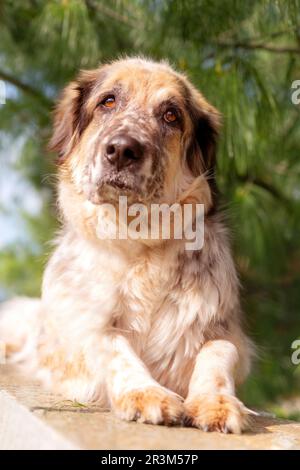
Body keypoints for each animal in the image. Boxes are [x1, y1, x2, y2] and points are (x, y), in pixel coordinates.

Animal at [0, 57, 255, 434]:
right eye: (108, 101)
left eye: (171, 115)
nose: (122, 150)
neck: (137, 240)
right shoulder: (75, 340)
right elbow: (110, 341)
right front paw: (145, 391)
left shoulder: (224, 332)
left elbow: (218, 352)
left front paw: (217, 402)